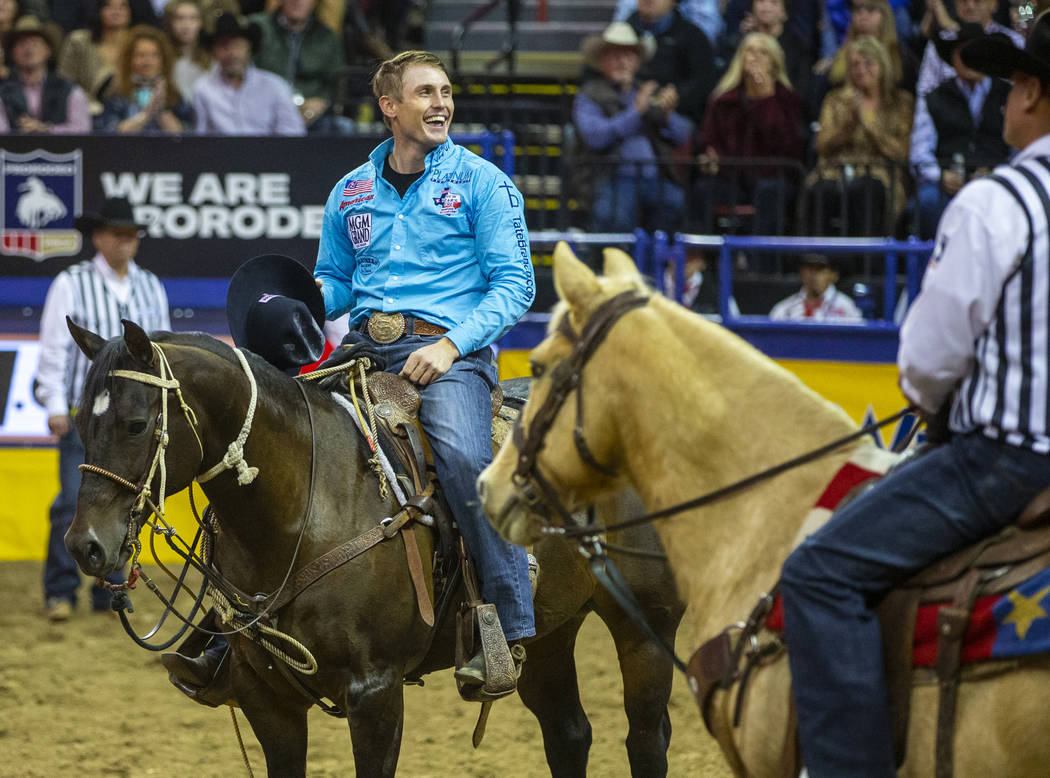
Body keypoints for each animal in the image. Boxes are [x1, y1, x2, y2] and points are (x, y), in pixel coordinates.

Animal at [67, 319, 688, 772]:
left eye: (135, 423)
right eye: (78, 423)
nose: (84, 546)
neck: (306, 506)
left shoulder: (376, 692)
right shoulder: (269, 703)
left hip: (646, 625)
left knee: (646, 738)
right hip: (550, 631)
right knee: (568, 734)